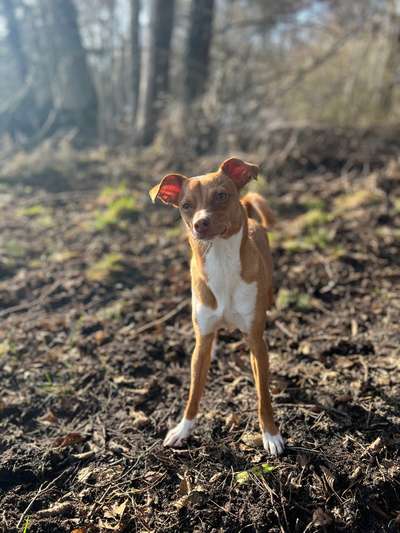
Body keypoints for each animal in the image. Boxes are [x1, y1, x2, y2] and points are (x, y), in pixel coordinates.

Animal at [150, 157, 284, 454]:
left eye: (221, 196)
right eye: (186, 205)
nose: (200, 223)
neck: (222, 261)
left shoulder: (257, 341)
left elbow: (263, 394)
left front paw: (270, 434)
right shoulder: (202, 342)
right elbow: (194, 392)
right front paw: (183, 429)